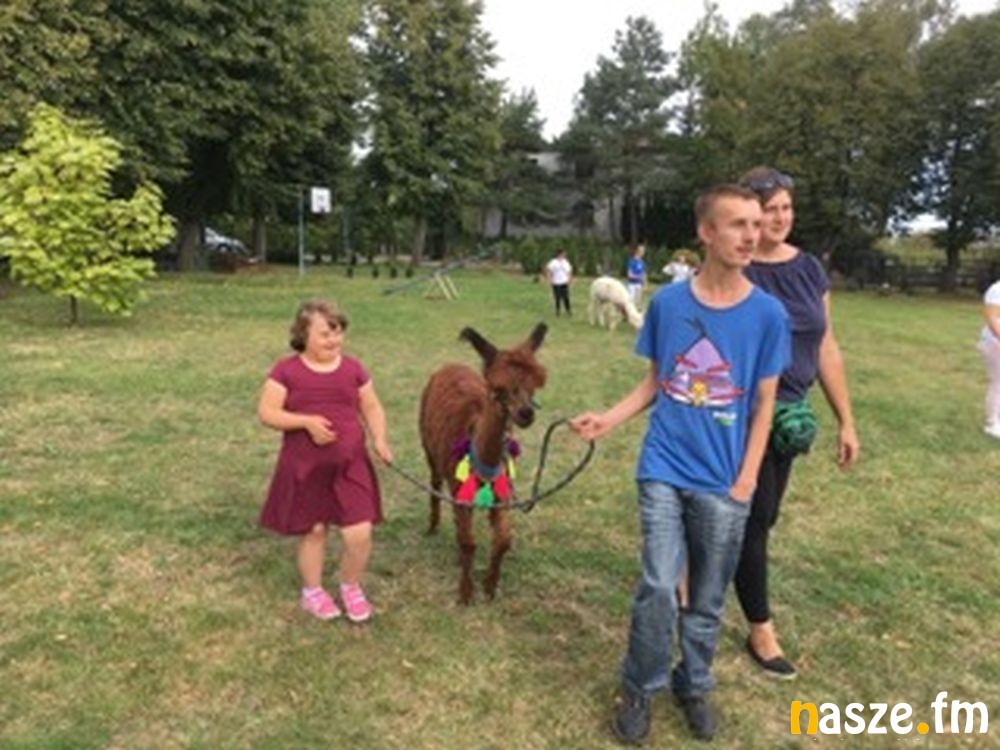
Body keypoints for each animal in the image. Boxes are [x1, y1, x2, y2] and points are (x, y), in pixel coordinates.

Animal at [419, 324, 547, 603]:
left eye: (534, 385)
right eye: (498, 387)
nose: (525, 413)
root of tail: (450, 365)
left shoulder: (503, 492)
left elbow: (502, 540)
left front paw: (489, 587)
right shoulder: (460, 487)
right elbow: (469, 542)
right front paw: (465, 593)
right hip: (429, 447)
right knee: (435, 484)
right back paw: (432, 527)